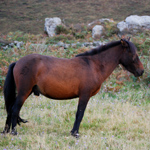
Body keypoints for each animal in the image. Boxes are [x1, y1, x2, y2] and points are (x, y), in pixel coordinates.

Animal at [2, 38, 144, 137]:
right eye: (133, 54)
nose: (141, 71)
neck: (94, 65)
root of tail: (17, 62)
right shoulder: (84, 95)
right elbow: (79, 114)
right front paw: (75, 133)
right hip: (24, 92)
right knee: (14, 109)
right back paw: (14, 132)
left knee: (11, 109)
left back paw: (6, 131)